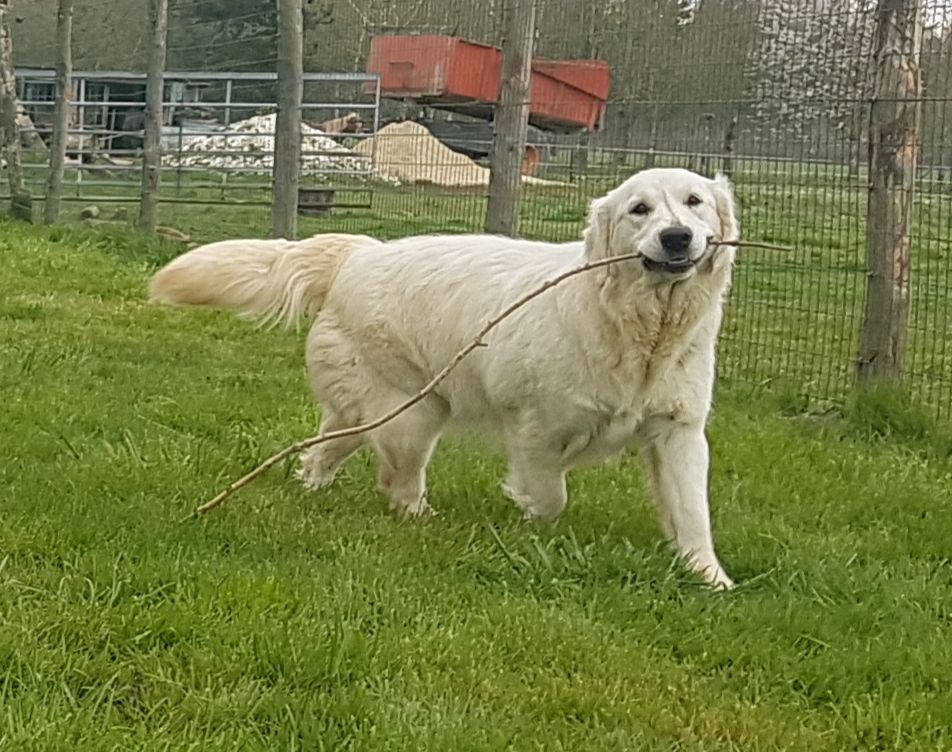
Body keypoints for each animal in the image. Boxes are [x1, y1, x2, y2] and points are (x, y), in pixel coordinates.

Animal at [151, 167, 744, 592]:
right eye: (639, 210)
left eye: (695, 202)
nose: (676, 238)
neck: (642, 328)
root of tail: (359, 253)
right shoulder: (537, 428)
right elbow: (550, 495)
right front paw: (533, 528)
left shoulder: (678, 431)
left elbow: (693, 511)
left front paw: (709, 576)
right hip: (413, 415)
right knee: (398, 481)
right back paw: (422, 519)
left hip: (369, 410)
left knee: (326, 447)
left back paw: (313, 487)